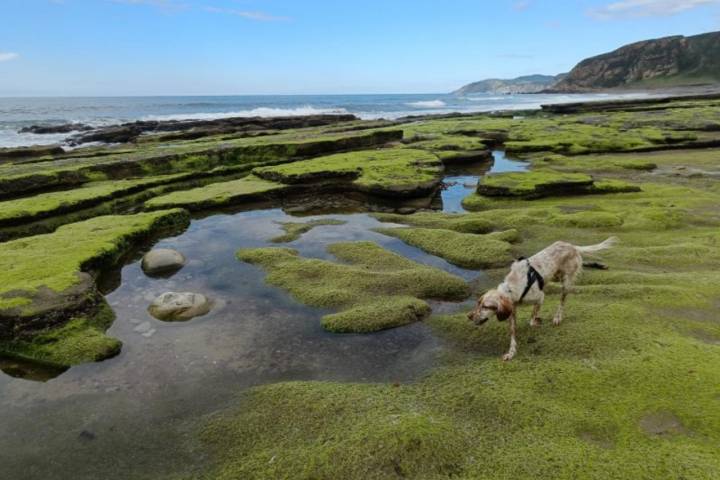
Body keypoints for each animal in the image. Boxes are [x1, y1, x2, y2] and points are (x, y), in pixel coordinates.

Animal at [466, 236, 620, 360]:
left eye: (486, 306)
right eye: (478, 303)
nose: (469, 316)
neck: (512, 286)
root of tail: (571, 246)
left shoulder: (540, 297)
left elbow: (532, 318)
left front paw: (536, 321)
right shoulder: (512, 310)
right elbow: (513, 333)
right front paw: (511, 352)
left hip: (565, 283)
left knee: (562, 301)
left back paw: (557, 317)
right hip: (556, 276)